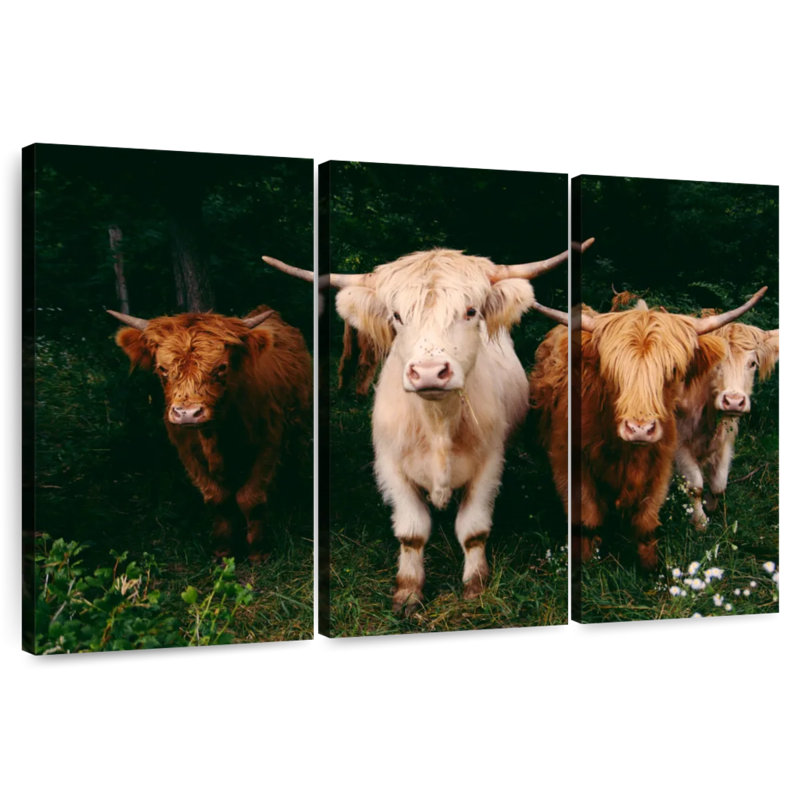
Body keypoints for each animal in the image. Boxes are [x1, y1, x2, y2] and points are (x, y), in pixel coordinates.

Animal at [108, 306, 312, 560]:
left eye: (221, 368)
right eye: (162, 369)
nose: (187, 413)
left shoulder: (269, 442)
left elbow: (250, 497)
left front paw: (258, 551)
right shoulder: (187, 452)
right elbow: (217, 497)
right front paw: (222, 550)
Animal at [263, 244, 584, 613]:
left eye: (470, 311)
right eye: (397, 316)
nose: (430, 372)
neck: (437, 423)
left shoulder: (488, 465)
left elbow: (473, 530)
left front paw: (475, 585)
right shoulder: (391, 467)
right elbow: (412, 532)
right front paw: (408, 591)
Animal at [529, 287, 767, 570]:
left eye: (672, 369)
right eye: (612, 369)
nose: (640, 429)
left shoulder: (661, 463)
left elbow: (646, 521)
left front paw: (650, 567)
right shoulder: (571, 463)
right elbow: (588, 517)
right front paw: (587, 559)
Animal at [675, 321, 779, 529]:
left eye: (752, 363)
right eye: (716, 363)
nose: (733, 401)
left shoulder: (726, 439)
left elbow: (719, 484)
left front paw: (710, 505)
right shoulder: (680, 444)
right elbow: (695, 485)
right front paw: (700, 522)